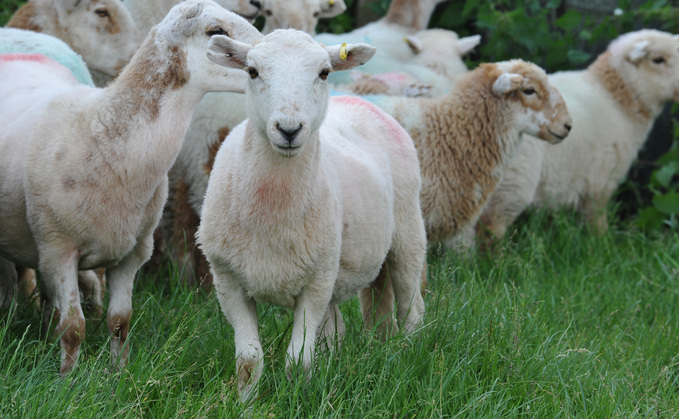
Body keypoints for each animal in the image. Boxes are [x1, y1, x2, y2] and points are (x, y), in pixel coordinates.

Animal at [197, 29, 428, 404]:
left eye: (324, 73)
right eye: (251, 71)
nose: (289, 129)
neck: (271, 208)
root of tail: (358, 101)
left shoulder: (318, 281)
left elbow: (298, 359)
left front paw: (295, 399)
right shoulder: (227, 279)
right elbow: (249, 360)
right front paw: (245, 404)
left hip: (408, 232)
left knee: (411, 307)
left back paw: (409, 355)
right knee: (366, 314)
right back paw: (379, 350)